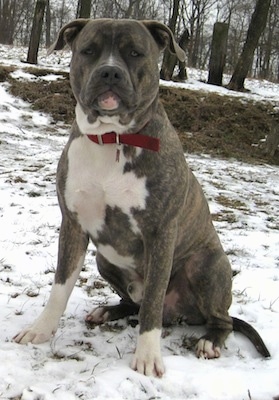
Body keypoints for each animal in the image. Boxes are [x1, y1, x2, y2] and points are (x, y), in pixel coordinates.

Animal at [13, 18, 272, 376]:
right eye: (88, 50)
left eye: (135, 53)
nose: (109, 72)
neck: (112, 138)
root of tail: (180, 315)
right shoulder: (73, 225)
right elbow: (60, 286)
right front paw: (40, 329)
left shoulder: (160, 234)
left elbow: (152, 301)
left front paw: (148, 357)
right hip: (104, 259)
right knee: (132, 302)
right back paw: (109, 311)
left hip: (207, 265)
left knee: (220, 320)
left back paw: (209, 341)